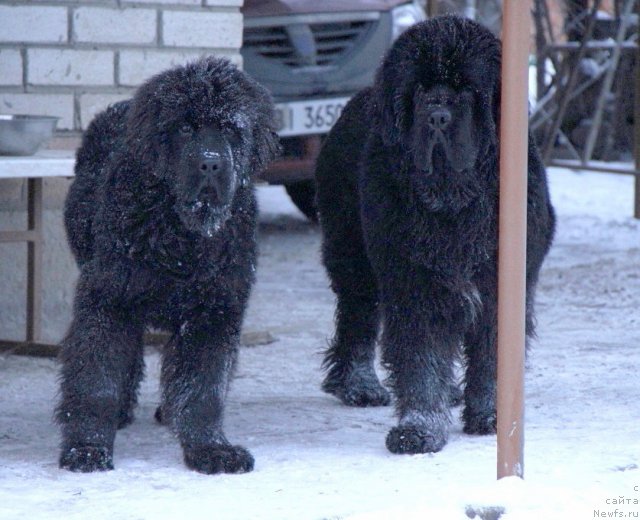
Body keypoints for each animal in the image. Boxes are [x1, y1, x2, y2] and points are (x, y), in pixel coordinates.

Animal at [58, 58, 278, 476]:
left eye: (230, 129)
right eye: (185, 127)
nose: (210, 163)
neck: (181, 239)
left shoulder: (214, 312)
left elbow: (203, 387)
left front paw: (210, 449)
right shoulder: (108, 301)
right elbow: (97, 380)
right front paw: (87, 447)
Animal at [316, 16, 556, 456]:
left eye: (466, 89)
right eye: (420, 89)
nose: (438, 115)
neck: (453, 204)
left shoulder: (502, 287)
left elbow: (492, 356)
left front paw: (491, 416)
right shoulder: (415, 284)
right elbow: (421, 358)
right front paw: (420, 428)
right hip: (353, 256)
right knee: (357, 316)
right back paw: (359, 384)